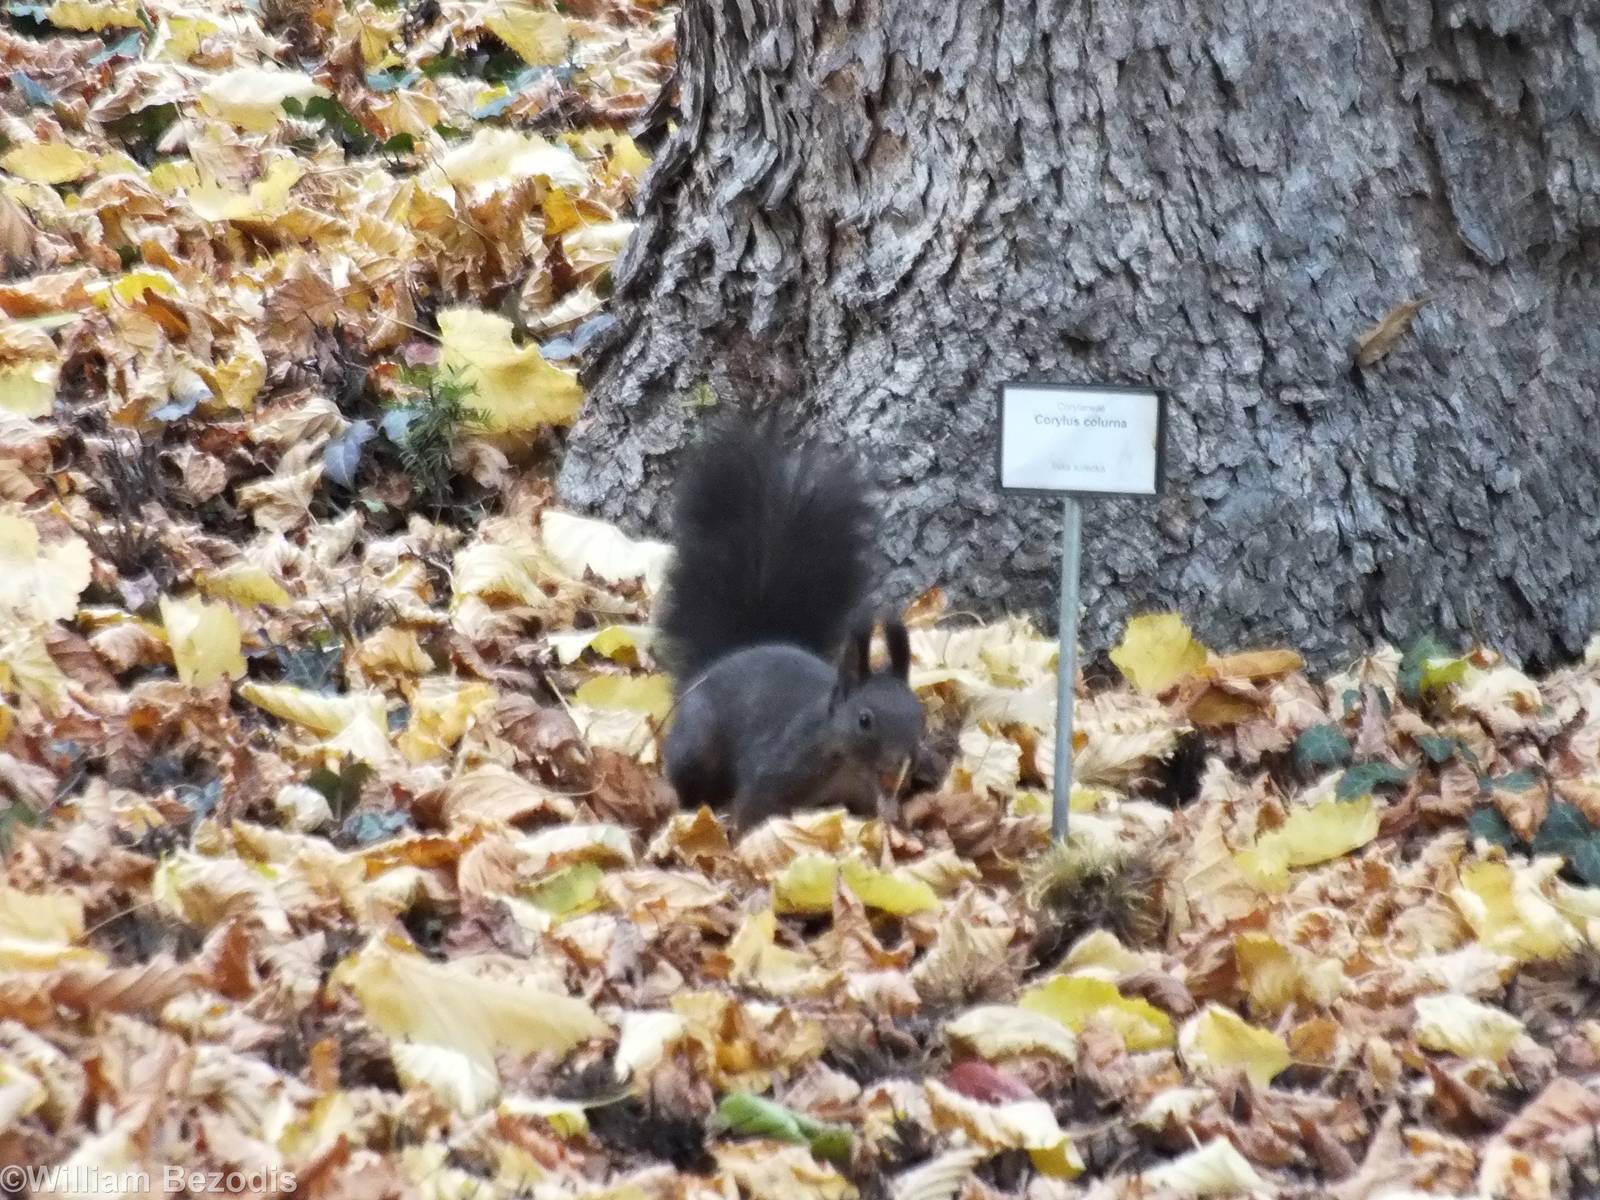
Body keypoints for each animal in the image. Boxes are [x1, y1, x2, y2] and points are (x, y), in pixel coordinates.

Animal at [654, 416, 931, 829]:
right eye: (864, 719)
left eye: (920, 715)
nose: (901, 763)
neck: (845, 766)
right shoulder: (777, 766)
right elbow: (753, 807)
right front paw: (744, 839)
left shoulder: (864, 797)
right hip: (697, 741)